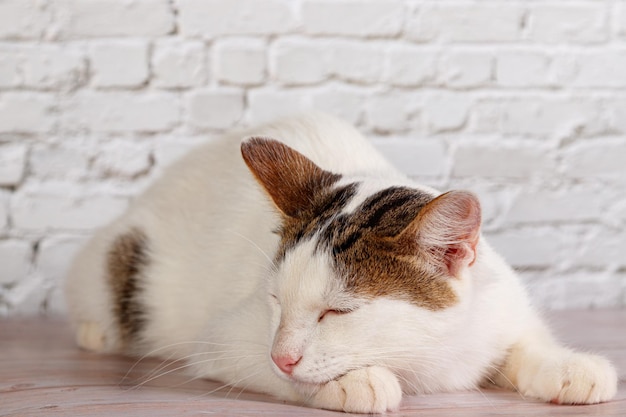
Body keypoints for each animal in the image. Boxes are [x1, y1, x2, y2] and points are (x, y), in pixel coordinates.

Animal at [64, 111, 616, 412]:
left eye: (337, 311)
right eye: (274, 301)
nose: (282, 355)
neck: (430, 356)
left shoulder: (496, 306)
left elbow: (522, 345)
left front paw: (567, 365)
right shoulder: (225, 338)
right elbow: (271, 371)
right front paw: (350, 381)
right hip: (117, 260)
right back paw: (97, 332)